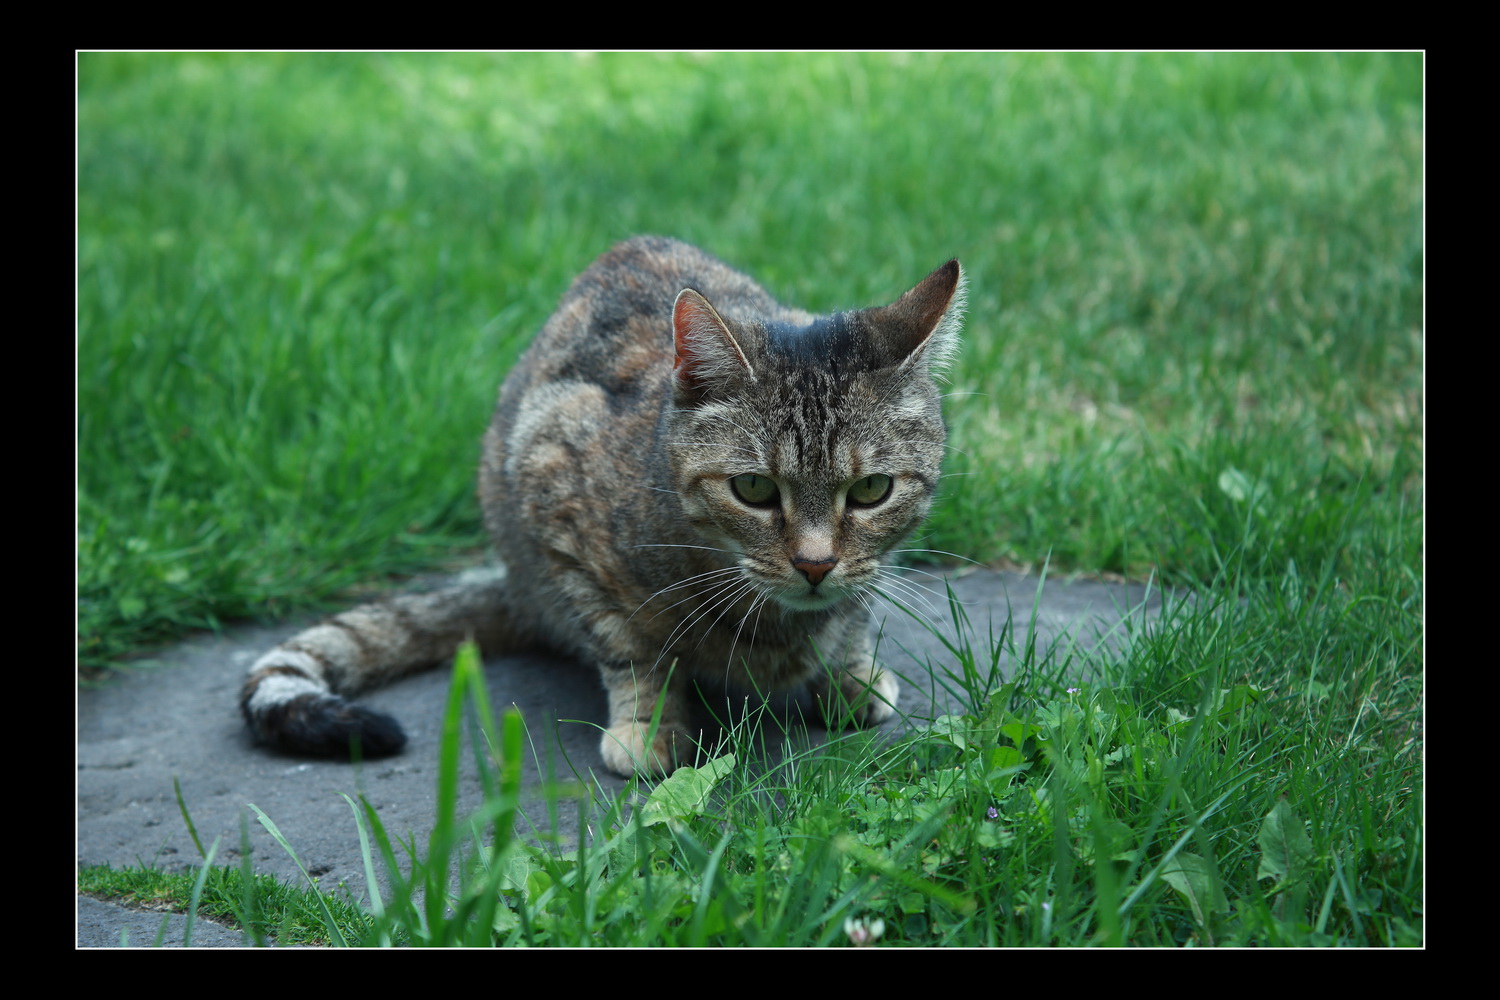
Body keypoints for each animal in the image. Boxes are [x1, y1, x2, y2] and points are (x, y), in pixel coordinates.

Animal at [240, 238, 966, 779]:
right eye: (755, 491)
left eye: (871, 491)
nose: (815, 565)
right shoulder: (556, 499)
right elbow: (629, 646)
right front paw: (647, 725)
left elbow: (857, 607)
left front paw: (848, 670)